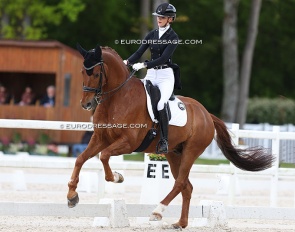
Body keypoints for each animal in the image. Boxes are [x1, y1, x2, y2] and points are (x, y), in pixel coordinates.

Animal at [68, 44, 276, 228]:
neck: (117, 98)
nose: (86, 104)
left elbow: (104, 156)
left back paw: (158, 211)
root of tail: (206, 114)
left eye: (96, 74)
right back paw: (180, 223)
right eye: (82, 72)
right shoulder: (100, 138)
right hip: (174, 153)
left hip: (191, 151)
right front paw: (72, 196)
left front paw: (117, 177)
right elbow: (80, 159)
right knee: (186, 186)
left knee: (180, 183)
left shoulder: (128, 143)